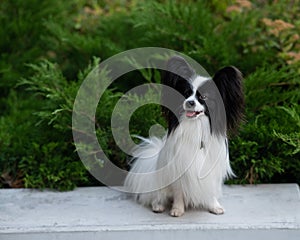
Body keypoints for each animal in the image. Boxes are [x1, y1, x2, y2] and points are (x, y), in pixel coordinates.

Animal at [123, 56, 244, 218]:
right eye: (186, 94)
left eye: (204, 97)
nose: (189, 102)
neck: (196, 127)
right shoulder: (179, 168)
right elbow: (178, 192)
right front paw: (177, 209)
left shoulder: (210, 170)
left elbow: (210, 189)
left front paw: (214, 206)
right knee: (156, 196)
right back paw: (158, 205)